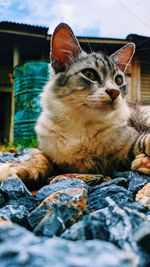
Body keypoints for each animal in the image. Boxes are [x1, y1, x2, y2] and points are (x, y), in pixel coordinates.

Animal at [0, 23, 150, 186]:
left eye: (118, 80)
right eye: (90, 74)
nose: (115, 92)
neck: (81, 124)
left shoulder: (128, 146)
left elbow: (143, 142)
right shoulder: (42, 149)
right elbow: (39, 160)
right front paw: (13, 170)